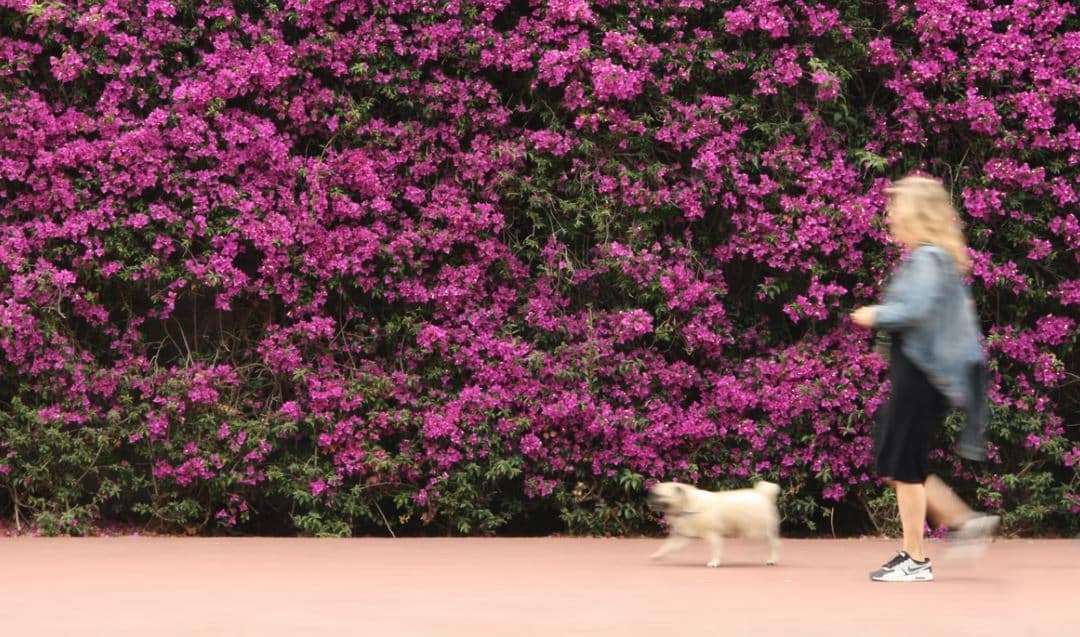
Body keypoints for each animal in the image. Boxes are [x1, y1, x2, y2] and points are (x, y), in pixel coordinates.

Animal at [643, 479, 781, 570]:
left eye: (658, 495)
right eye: (653, 494)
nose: (648, 499)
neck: (687, 503)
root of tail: (762, 494)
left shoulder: (712, 534)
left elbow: (716, 550)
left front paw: (714, 562)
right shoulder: (683, 536)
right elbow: (668, 546)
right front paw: (658, 555)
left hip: (757, 530)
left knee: (775, 543)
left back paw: (773, 559)